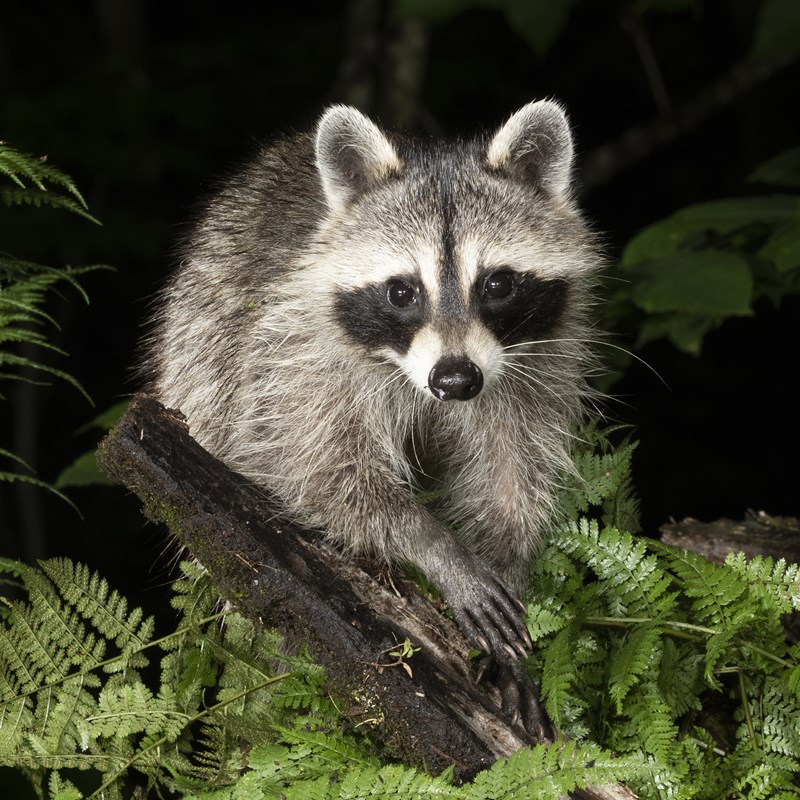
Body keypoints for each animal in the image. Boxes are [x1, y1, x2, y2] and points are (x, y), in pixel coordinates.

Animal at [143, 101, 598, 675]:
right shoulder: (296, 351)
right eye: (402, 292)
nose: (455, 380)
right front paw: (434, 544)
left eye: (497, 284)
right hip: (199, 343)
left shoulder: (538, 364)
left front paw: (508, 559)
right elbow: (314, 471)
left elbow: (512, 471)